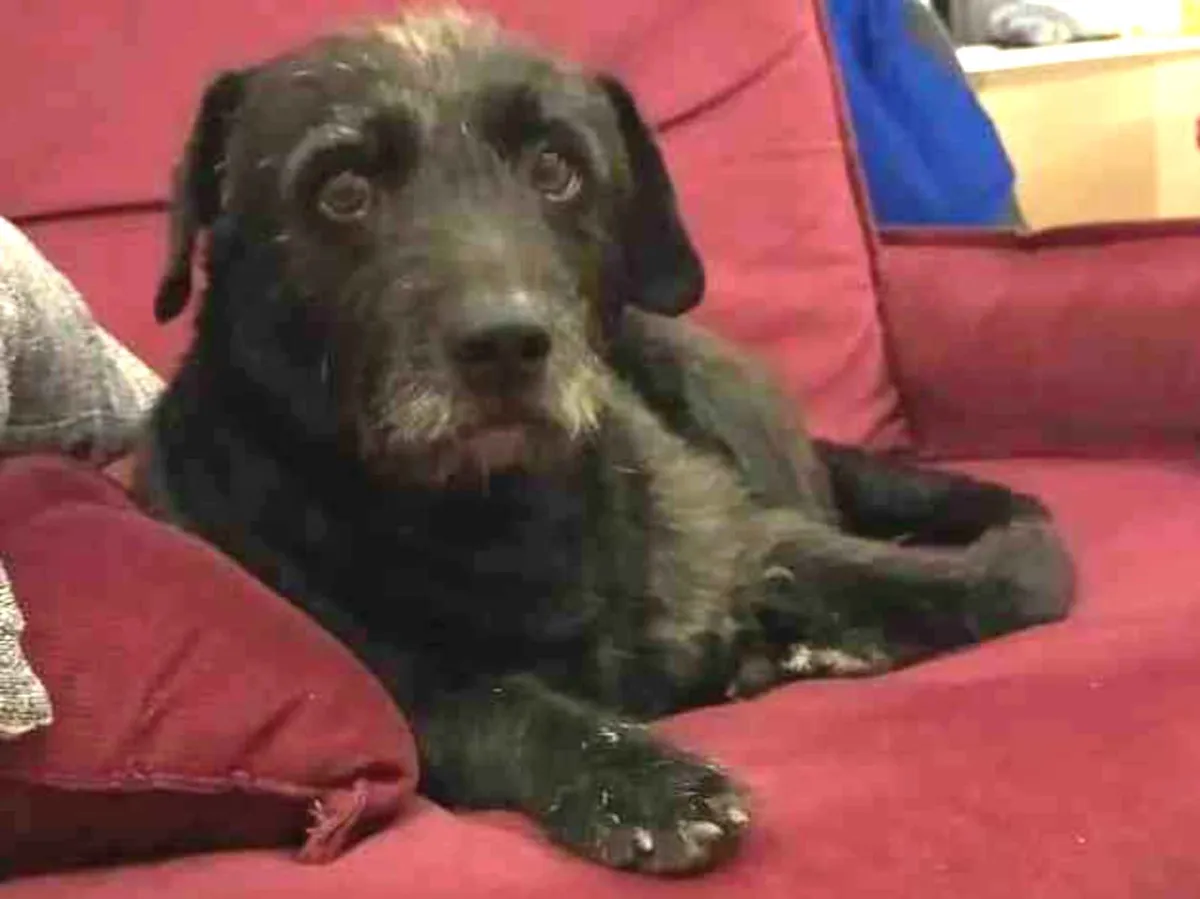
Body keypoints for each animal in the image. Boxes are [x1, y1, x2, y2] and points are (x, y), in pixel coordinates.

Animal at [137, 7, 1075, 876]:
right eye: (342, 188)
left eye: (556, 168)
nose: (506, 343)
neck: (503, 515)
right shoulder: (387, 677)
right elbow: (502, 707)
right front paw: (646, 783)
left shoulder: (747, 539)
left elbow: (988, 580)